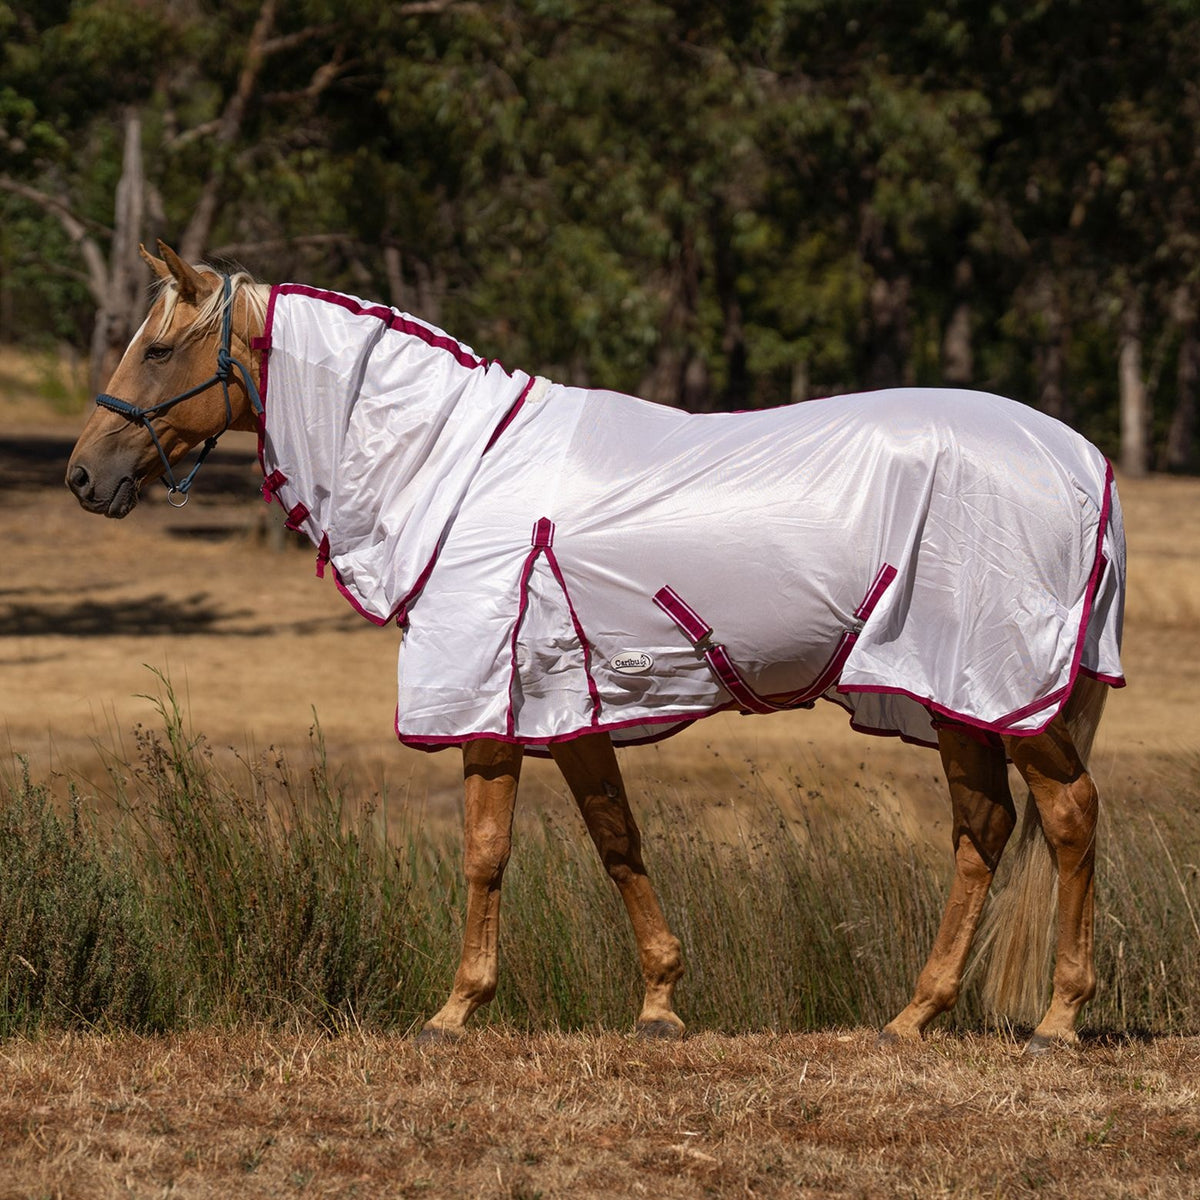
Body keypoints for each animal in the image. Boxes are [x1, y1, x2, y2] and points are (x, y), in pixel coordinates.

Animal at [67, 242, 1126, 1052]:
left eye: (157, 350)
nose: (84, 476)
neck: (458, 470)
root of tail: (1083, 461)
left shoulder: (486, 699)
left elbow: (485, 852)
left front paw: (454, 1012)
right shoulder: (565, 705)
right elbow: (616, 838)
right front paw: (660, 1002)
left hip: (1000, 692)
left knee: (1069, 816)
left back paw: (1059, 1020)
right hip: (950, 696)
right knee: (983, 830)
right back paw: (914, 1016)